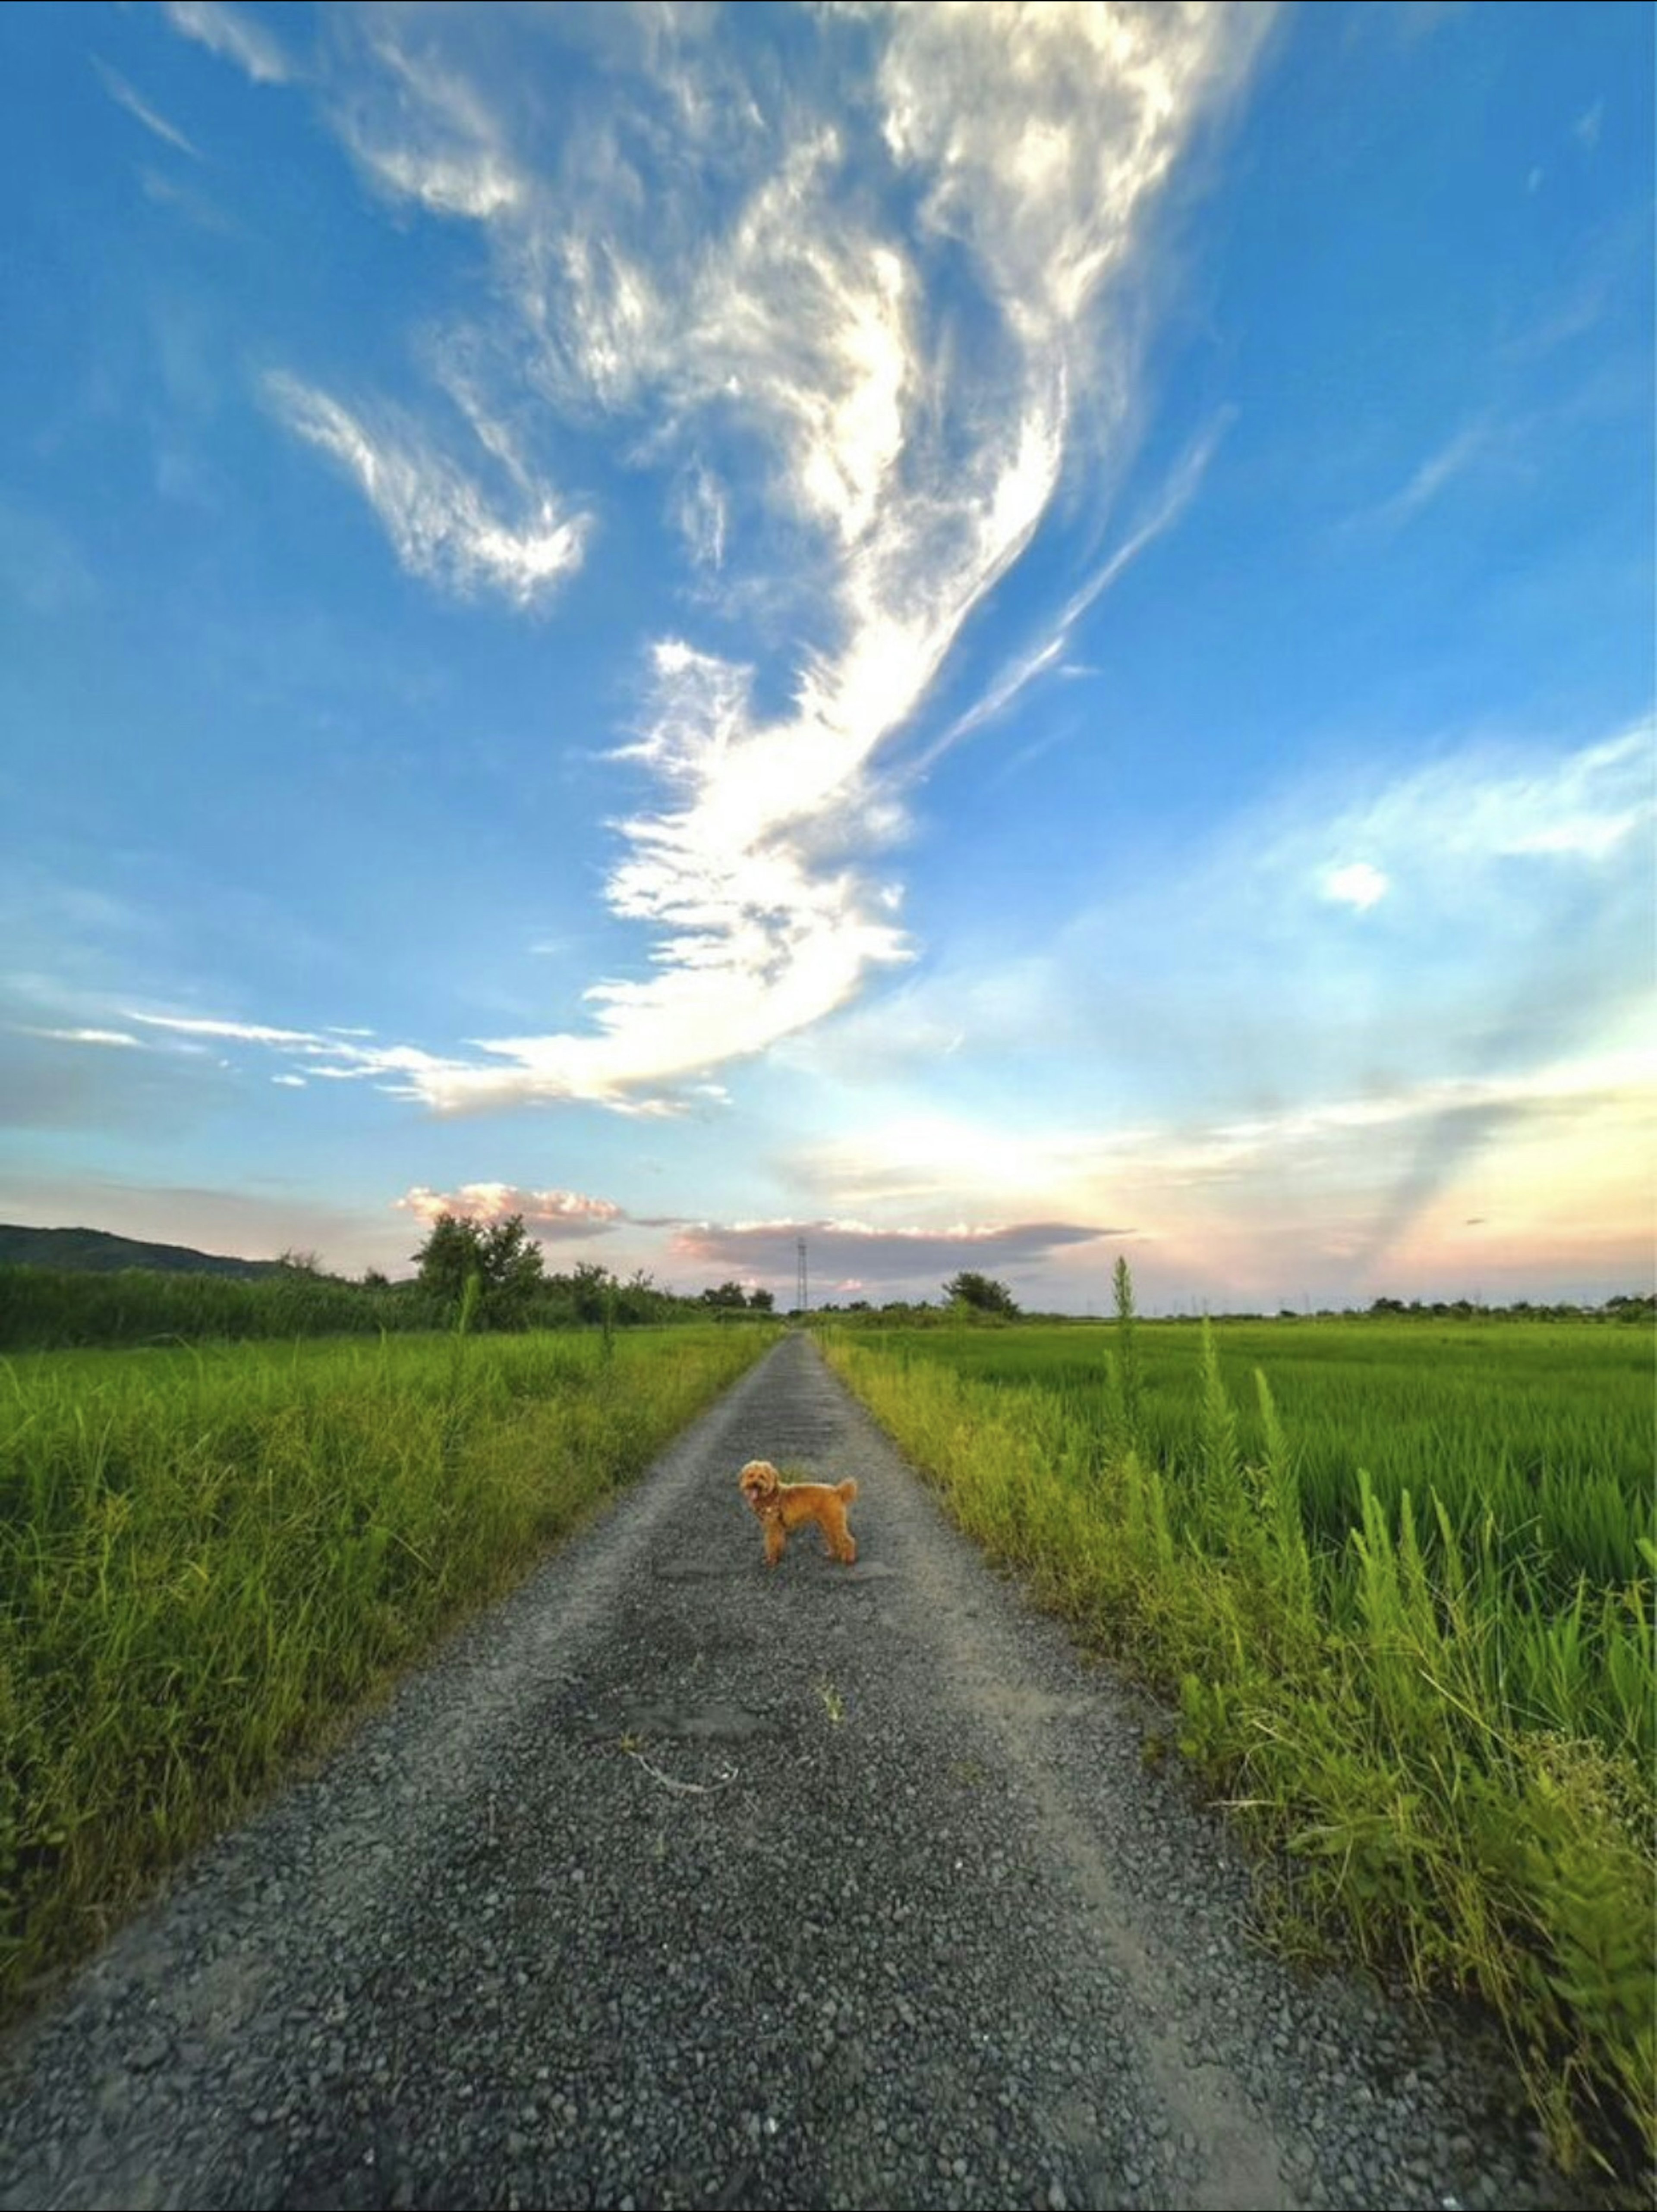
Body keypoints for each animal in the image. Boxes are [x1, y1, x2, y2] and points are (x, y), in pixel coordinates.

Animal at [739, 1451, 858, 1575]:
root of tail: (837, 1491)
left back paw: (849, 1559)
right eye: (751, 1475)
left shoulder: (773, 1527)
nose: (754, 1484)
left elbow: (771, 1544)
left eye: (762, 1477)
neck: (770, 1496)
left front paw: (771, 1561)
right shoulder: (777, 1528)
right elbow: (777, 1543)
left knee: (848, 1540)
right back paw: (832, 1555)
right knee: (834, 1539)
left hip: (833, 1521)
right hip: (826, 1523)